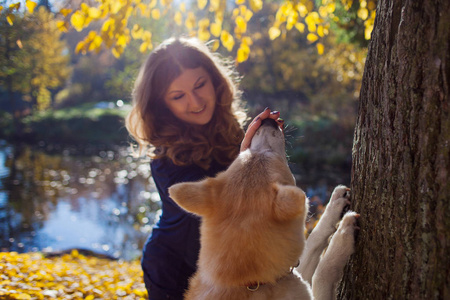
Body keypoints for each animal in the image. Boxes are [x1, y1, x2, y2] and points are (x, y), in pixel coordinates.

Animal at [169, 118, 358, 298]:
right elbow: (321, 275)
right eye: (270, 153)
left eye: (244, 153)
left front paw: (334, 207)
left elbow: (313, 240)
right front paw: (343, 235)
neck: (251, 282)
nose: (267, 121)